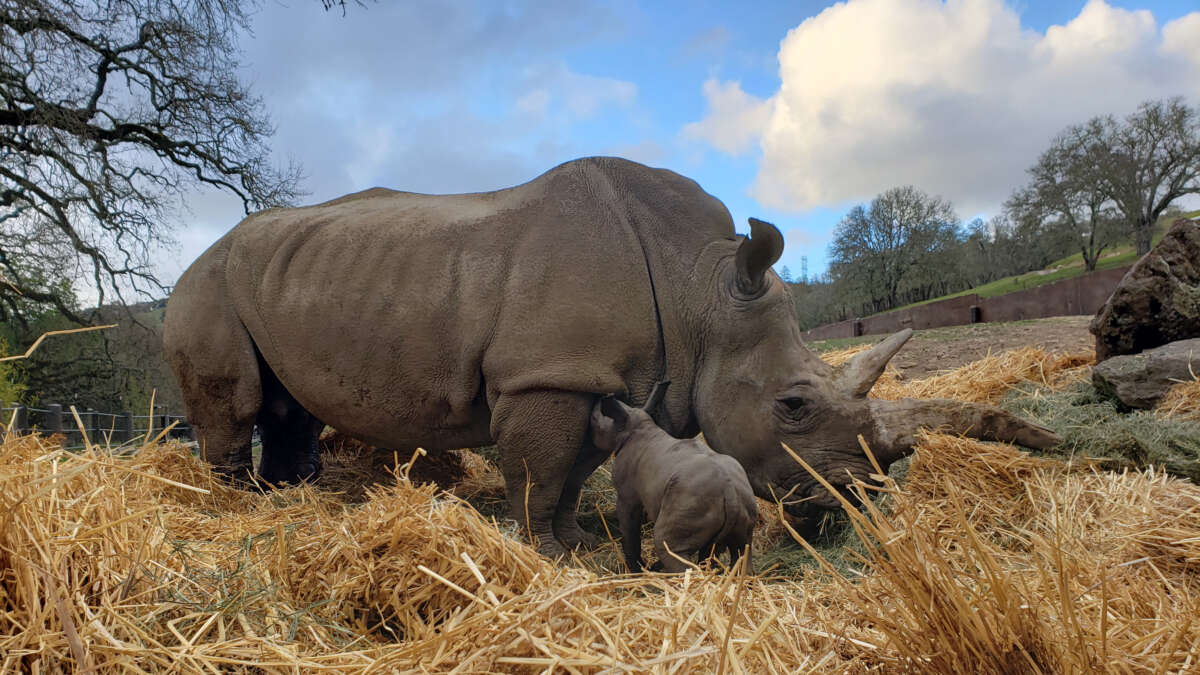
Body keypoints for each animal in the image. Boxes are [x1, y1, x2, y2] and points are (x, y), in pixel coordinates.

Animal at [163, 156, 1060, 557]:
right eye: (793, 405)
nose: (851, 504)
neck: (704, 287)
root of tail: (196, 254)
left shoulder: (606, 379)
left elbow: (575, 472)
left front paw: (573, 542)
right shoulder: (547, 374)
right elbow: (538, 472)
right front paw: (544, 553)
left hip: (287, 279)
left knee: (288, 405)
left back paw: (289, 501)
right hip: (204, 284)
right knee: (237, 401)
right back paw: (230, 512)